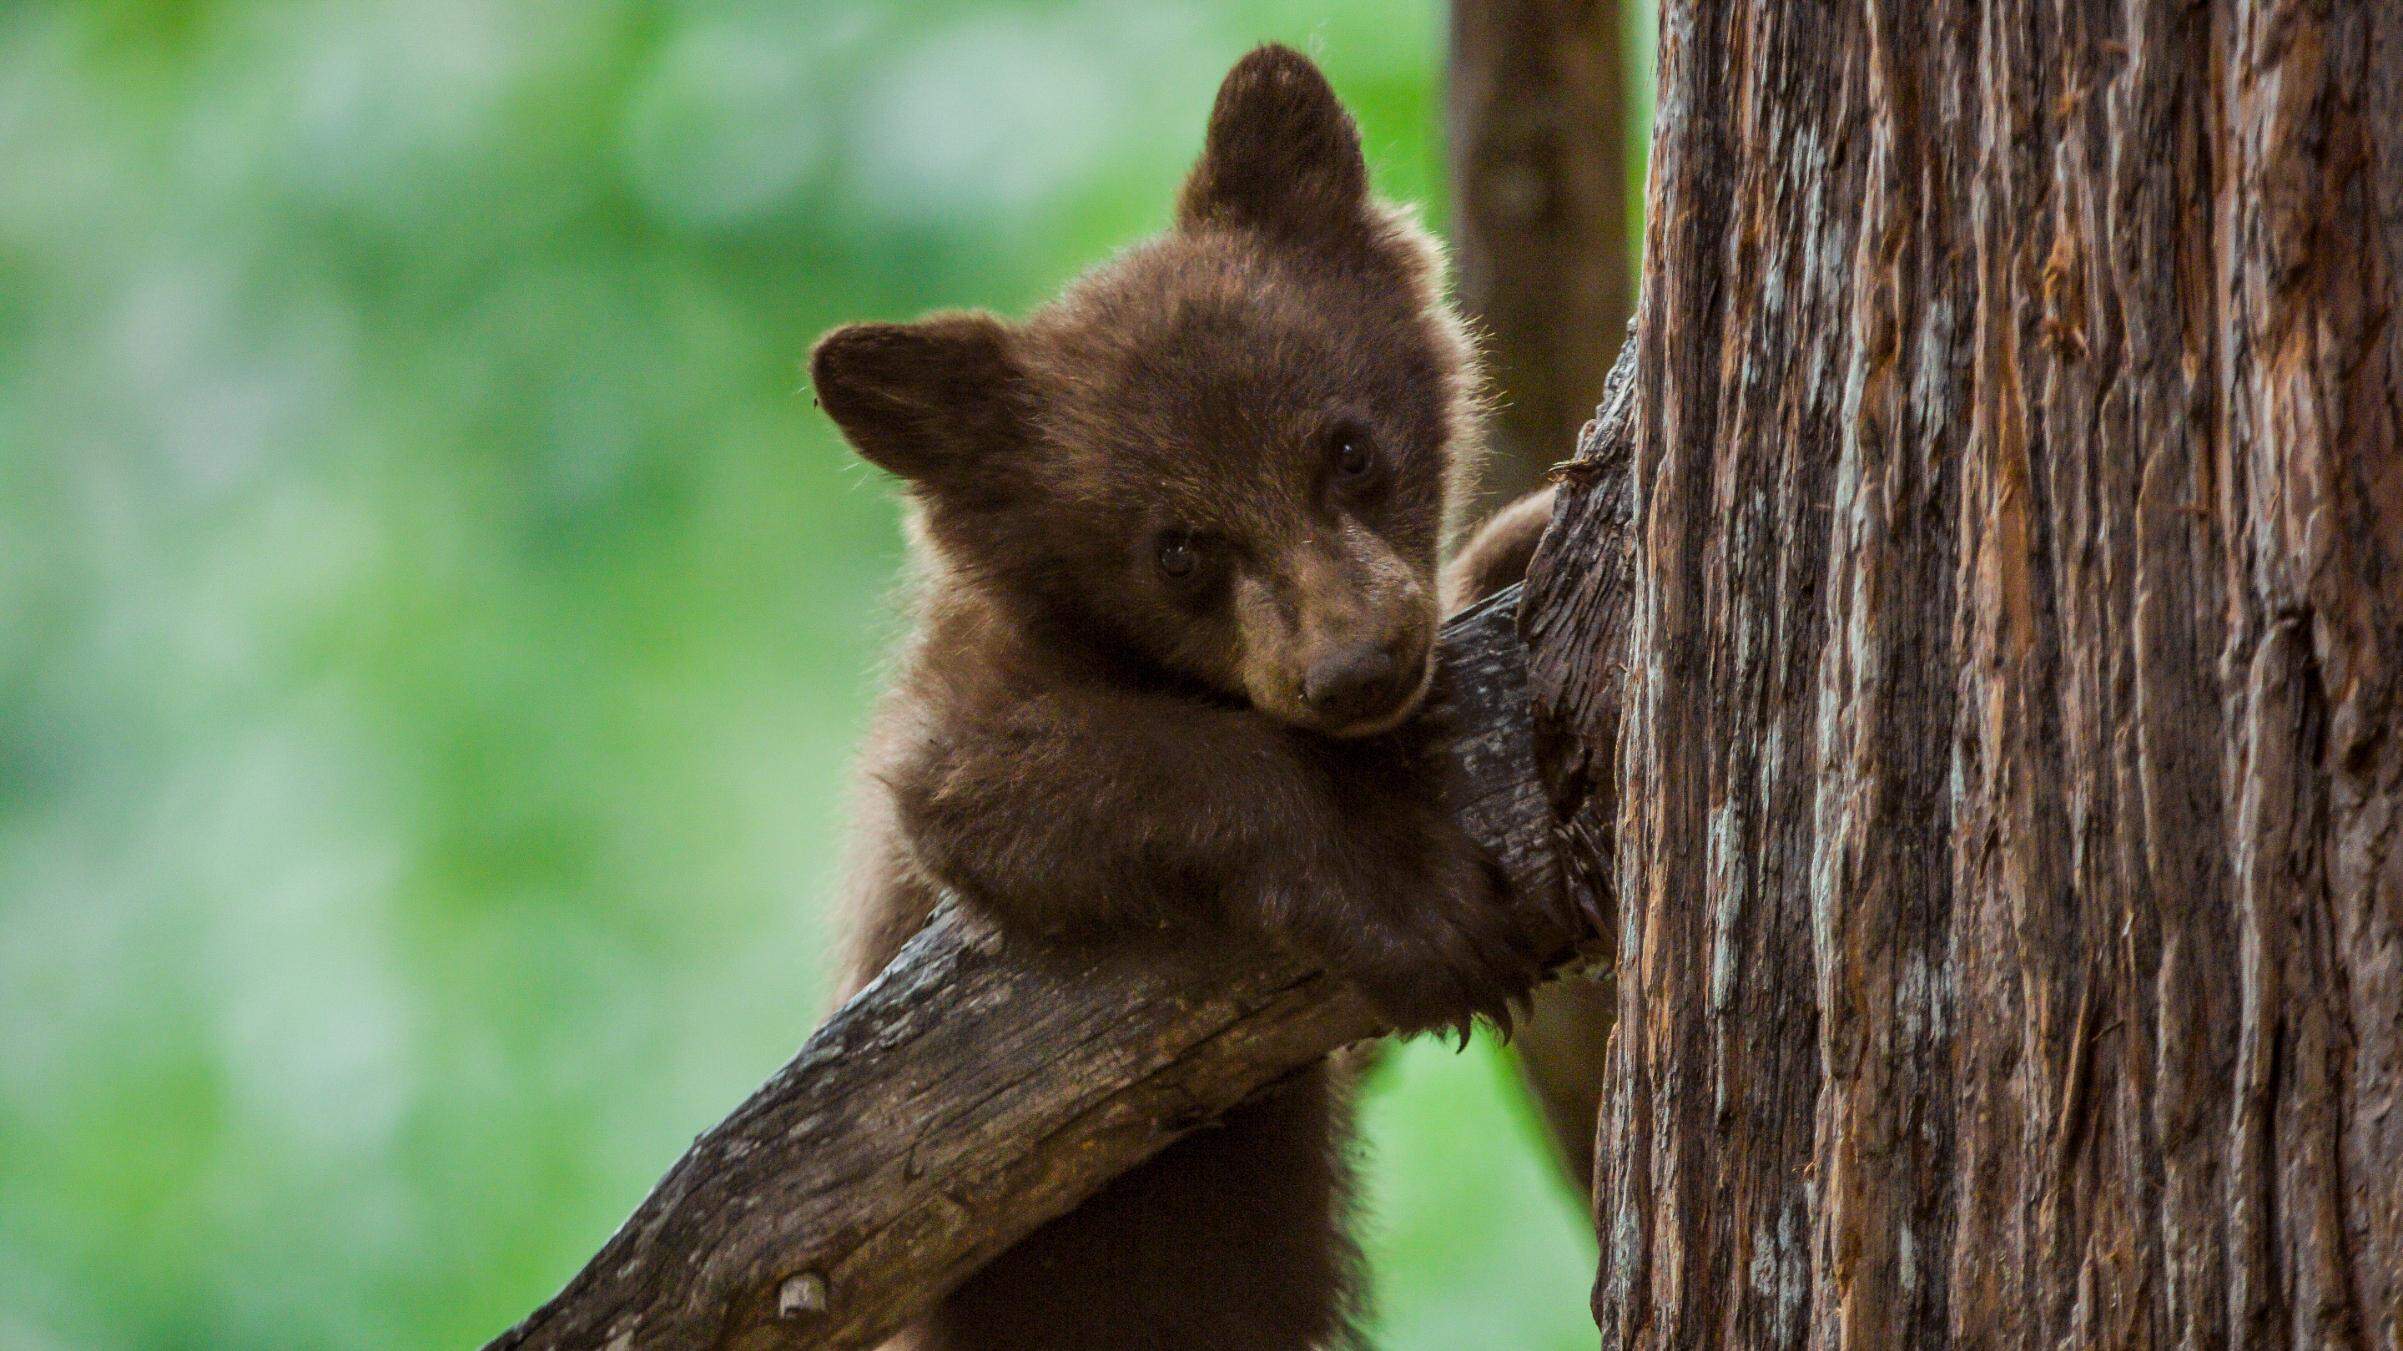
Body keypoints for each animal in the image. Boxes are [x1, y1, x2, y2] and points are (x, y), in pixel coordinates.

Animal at [811, 45, 1577, 1351]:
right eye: (1177, 549)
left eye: (1350, 450)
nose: (1356, 669)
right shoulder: (961, 715)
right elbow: (1031, 775)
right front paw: (1419, 907)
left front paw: (1526, 532)